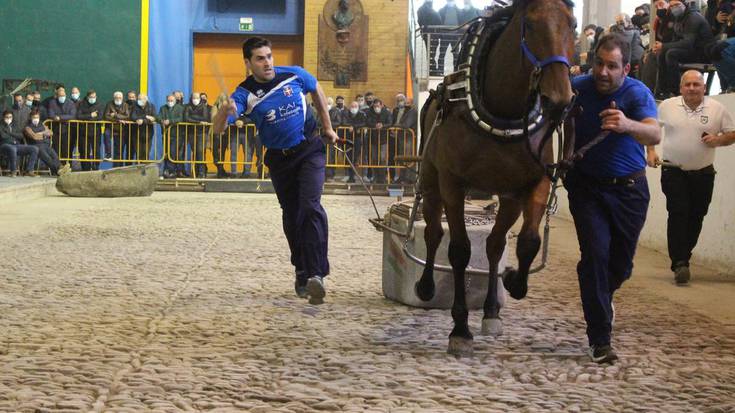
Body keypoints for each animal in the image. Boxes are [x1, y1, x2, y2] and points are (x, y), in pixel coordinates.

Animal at [416, 0, 576, 354]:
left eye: (572, 24)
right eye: (531, 25)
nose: (559, 99)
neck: (502, 110)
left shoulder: (534, 182)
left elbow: (528, 242)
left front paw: (514, 281)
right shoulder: (453, 184)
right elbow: (459, 250)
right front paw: (460, 328)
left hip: (508, 198)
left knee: (494, 244)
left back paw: (490, 310)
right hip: (432, 182)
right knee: (433, 233)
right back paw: (426, 286)